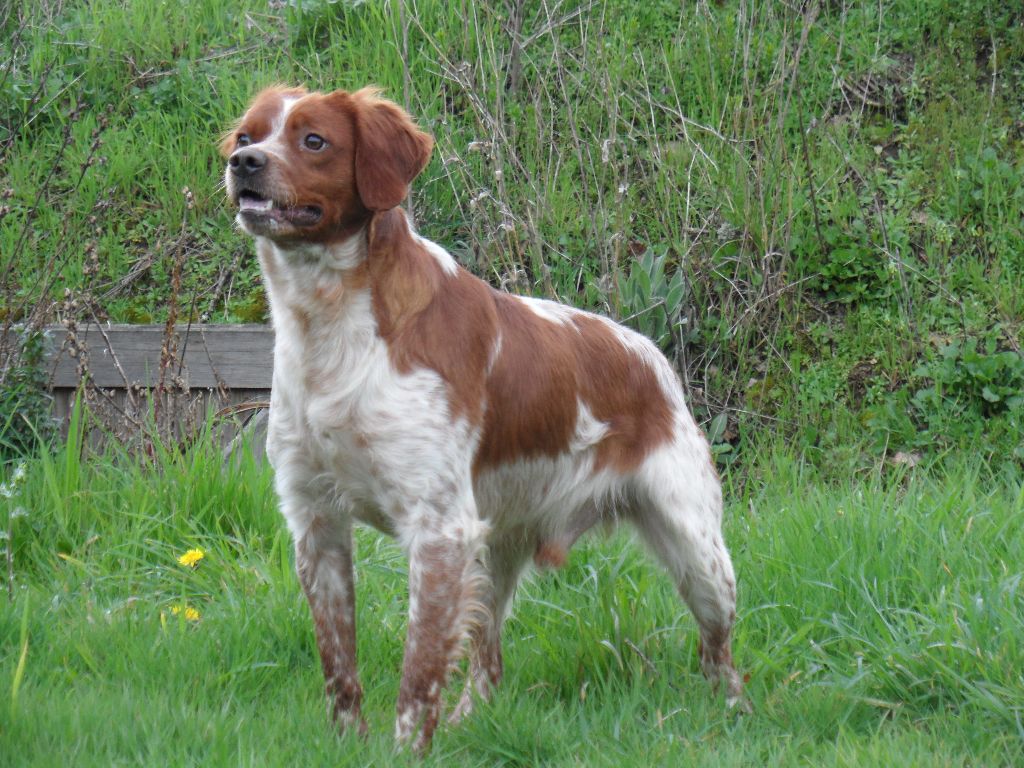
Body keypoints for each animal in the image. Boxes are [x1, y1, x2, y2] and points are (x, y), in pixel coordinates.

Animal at [222, 85, 745, 753]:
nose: (245, 164)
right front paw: (349, 744)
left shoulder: (438, 530)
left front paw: (406, 754)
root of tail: (652, 355)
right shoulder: (316, 522)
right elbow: (340, 667)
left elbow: (418, 676)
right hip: (493, 555)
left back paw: (731, 712)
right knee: (488, 661)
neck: (331, 329)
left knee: (718, 652)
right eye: (247, 135)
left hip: (697, 550)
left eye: (314, 140)